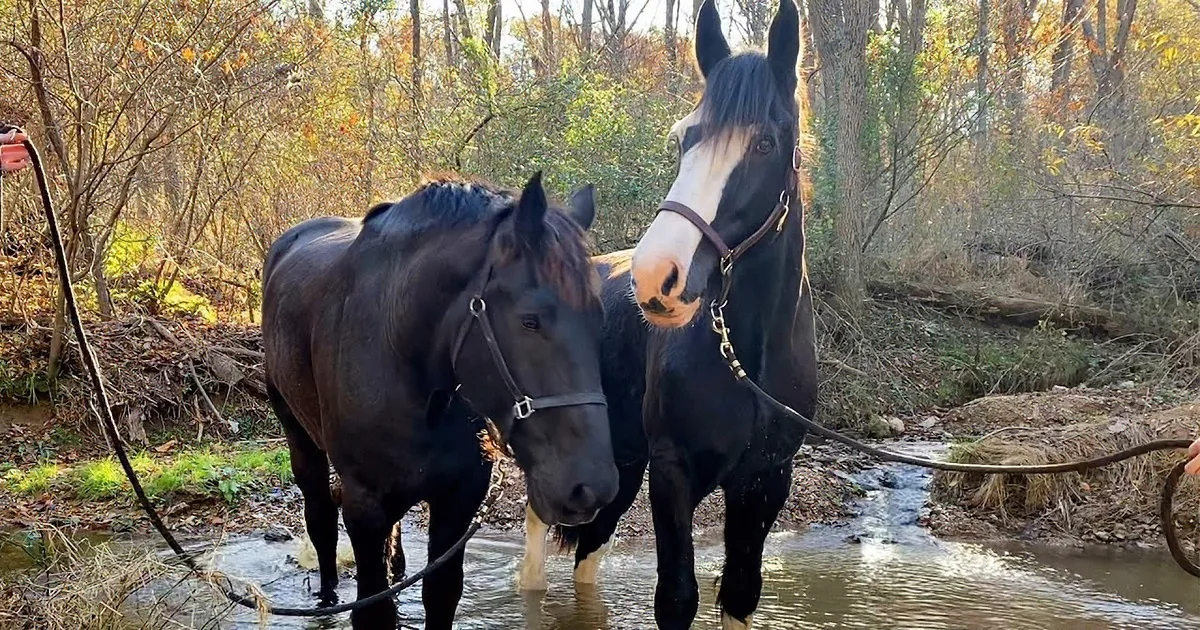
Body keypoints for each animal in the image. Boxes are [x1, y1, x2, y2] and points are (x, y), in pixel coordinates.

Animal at [262, 172, 620, 629]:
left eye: (599, 319)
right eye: (529, 321)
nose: (590, 488)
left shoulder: (458, 499)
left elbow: (440, 593)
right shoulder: (364, 505)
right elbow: (373, 606)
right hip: (299, 435)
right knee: (320, 519)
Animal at [517, 1, 815, 628]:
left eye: (765, 143)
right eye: (684, 138)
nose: (657, 276)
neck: (746, 359)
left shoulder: (765, 482)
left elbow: (739, 592)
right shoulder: (673, 472)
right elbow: (676, 596)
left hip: (621, 465)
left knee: (588, 555)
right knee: (535, 555)